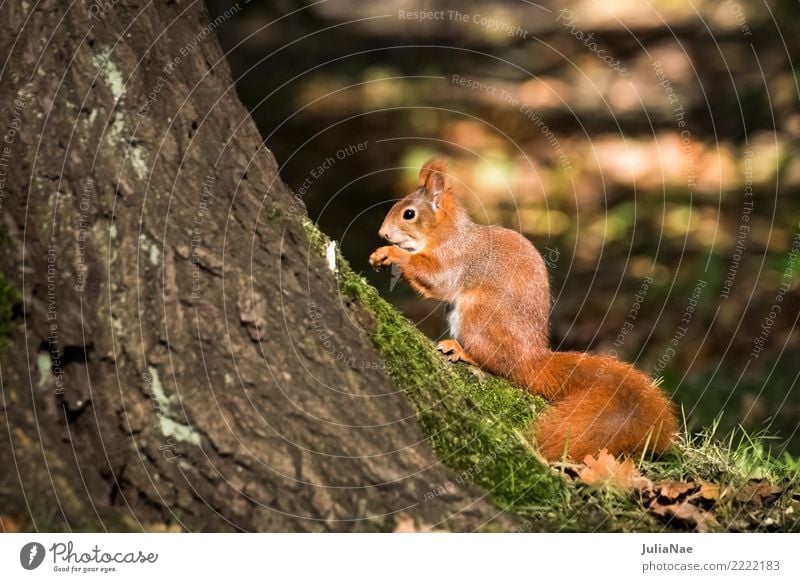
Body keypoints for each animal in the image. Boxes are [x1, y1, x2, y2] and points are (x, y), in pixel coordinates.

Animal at [372, 159, 680, 460]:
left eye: (409, 214)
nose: (382, 233)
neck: (445, 232)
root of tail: (530, 358)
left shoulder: (456, 258)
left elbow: (436, 279)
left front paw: (392, 254)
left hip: (479, 315)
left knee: (498, 366)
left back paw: (462, 350)